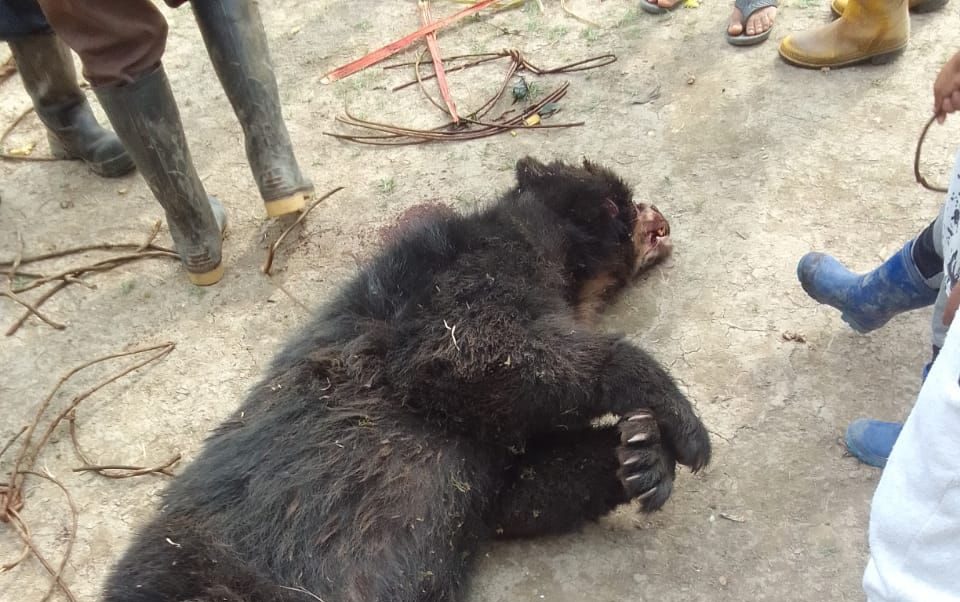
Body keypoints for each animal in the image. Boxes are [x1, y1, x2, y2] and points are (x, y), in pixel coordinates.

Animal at [102, 157, 712, 602]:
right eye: (622, 200)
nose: (659, 213)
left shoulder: (484, 462)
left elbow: (520, 488)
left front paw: (640, 453)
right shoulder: (457, 284)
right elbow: (473, 357)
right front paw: (679, 421)